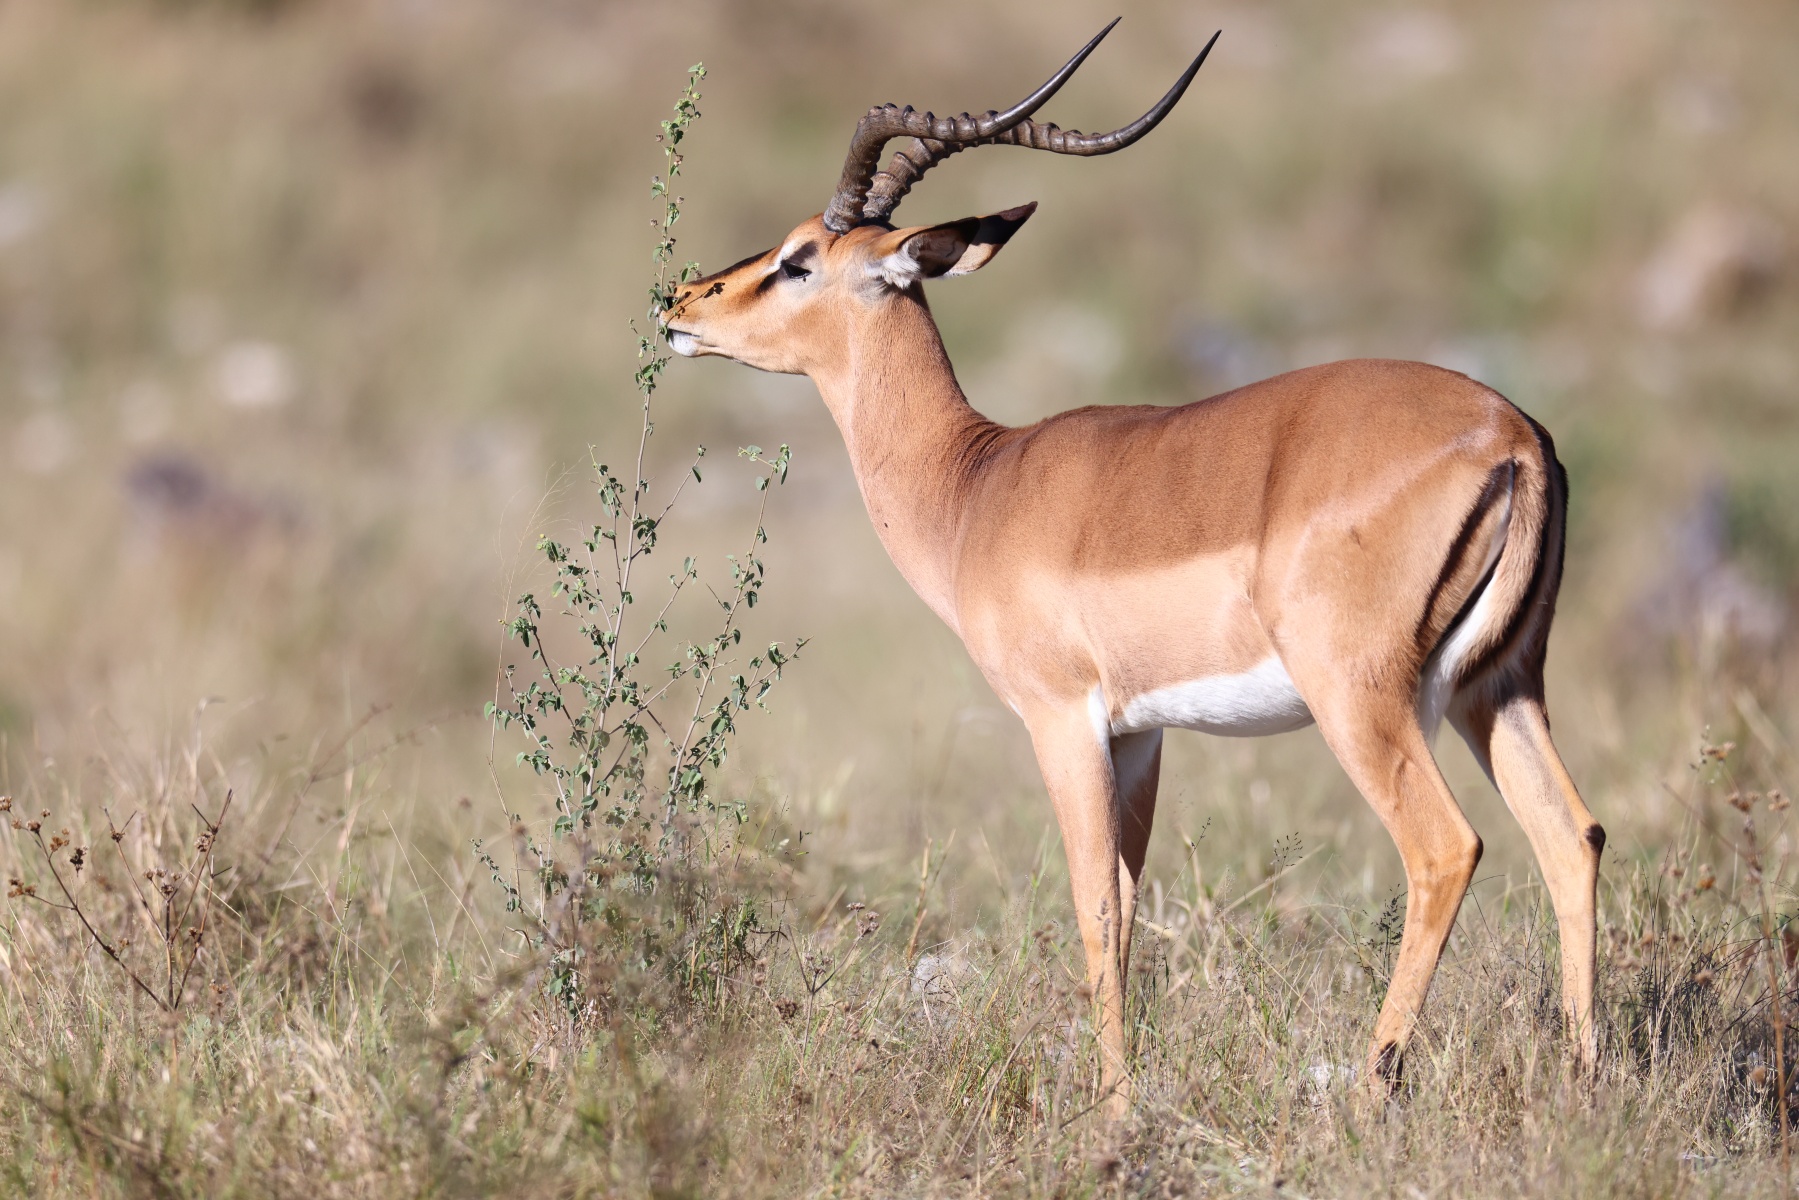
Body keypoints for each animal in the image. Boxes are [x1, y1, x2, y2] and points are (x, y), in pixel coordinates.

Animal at [664, 21, 1603, 1110]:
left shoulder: (1058, 718)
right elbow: (1125, 895)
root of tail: (1512, 435)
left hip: (1362, 698)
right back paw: (1583, 1080)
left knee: (1446, 849)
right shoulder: (1140, 735)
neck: (974, 482)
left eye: (797, 261)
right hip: (1498, 686)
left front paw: (1109, 1106)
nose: (681, 302)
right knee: (1570, 837)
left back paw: (1374, 1087)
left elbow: (1093, 907)